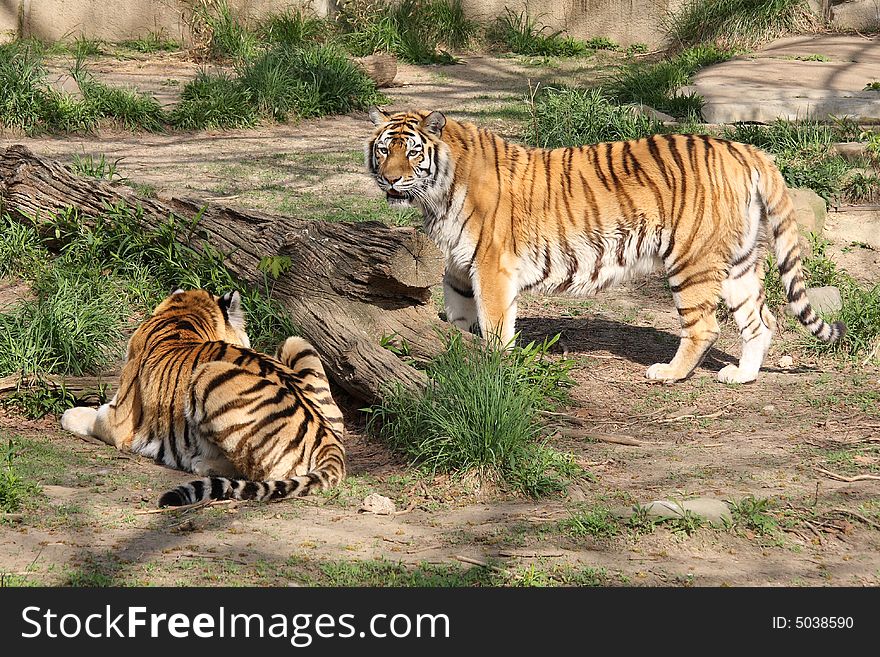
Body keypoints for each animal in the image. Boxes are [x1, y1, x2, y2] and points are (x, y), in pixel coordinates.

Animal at [59, 288, 344, 508]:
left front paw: (70, 414)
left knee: (255, 472)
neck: (183, 315)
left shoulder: (118, 419)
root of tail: (328, 439)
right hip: (295, 342)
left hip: (207, 375)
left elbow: (90, 417)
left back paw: (202, 463)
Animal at [366, 108, 844, 384]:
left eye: (412, 153)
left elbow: (497, 326)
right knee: (762, 319)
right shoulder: (460, 266)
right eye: (384, 150)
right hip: (738, 261)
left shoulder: (491, 266)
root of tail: (746, 149)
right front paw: (459, 349)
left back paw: (668, 374)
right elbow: (459, 313)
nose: (390, 180)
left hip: (691, 260)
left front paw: (492, 364)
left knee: (705, 326)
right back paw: (741, 376)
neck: (437, 194)